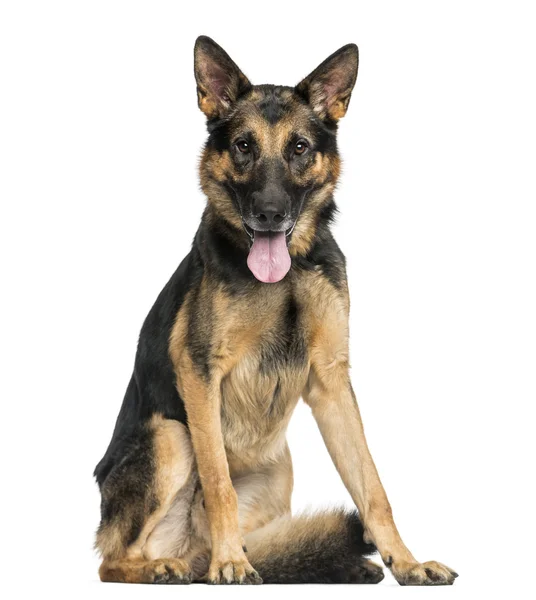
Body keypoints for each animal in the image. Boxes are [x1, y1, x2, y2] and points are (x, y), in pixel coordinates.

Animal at [93, 37, 456, 584]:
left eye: (299, 148)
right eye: (244, 146)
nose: (269, 213)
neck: (285, 279)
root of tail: (189, 547)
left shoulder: (331, 381)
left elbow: (373, 487)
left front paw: (407, 561)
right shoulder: (199, 371)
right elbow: (218, 480)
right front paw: (230, 562)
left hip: (278, 472)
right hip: (173, 436)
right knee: (113, 560)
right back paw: (171, 566)